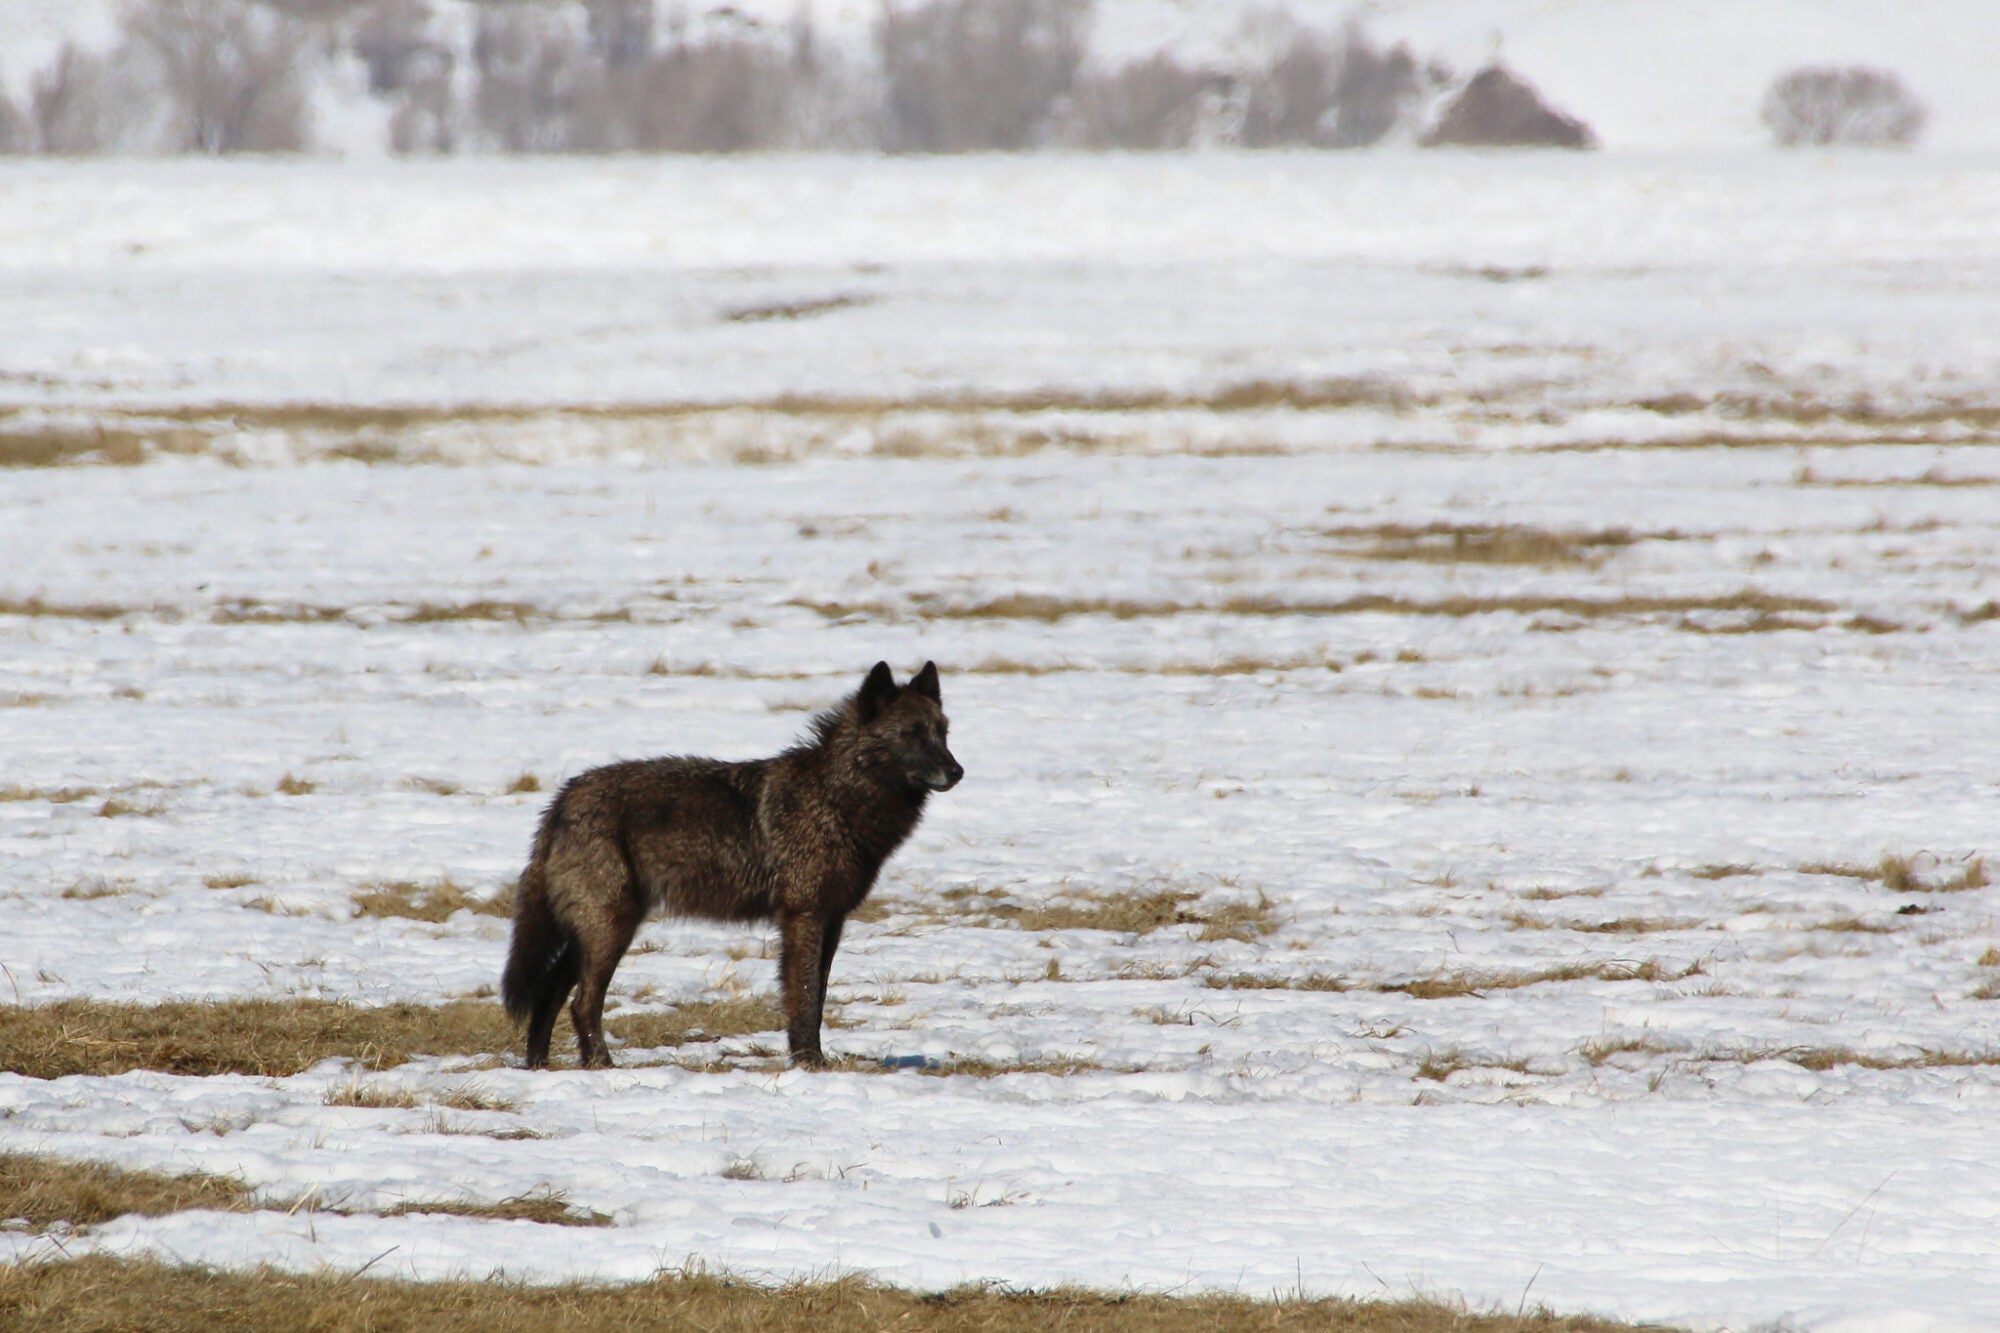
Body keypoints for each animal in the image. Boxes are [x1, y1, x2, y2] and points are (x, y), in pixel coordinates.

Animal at [501, 661, 962, 1070]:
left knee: (551, 994)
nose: (957, 771)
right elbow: (805, 997)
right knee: (582, 1003)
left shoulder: (832, 920)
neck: (835, 797)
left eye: (942, 733)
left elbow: (817, 997)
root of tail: (562, 799)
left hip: (592, 934)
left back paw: (539, 1065)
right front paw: (809, 1063)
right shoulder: (804, 916)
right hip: (610, 930)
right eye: (911, 735)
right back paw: (600, 1066)